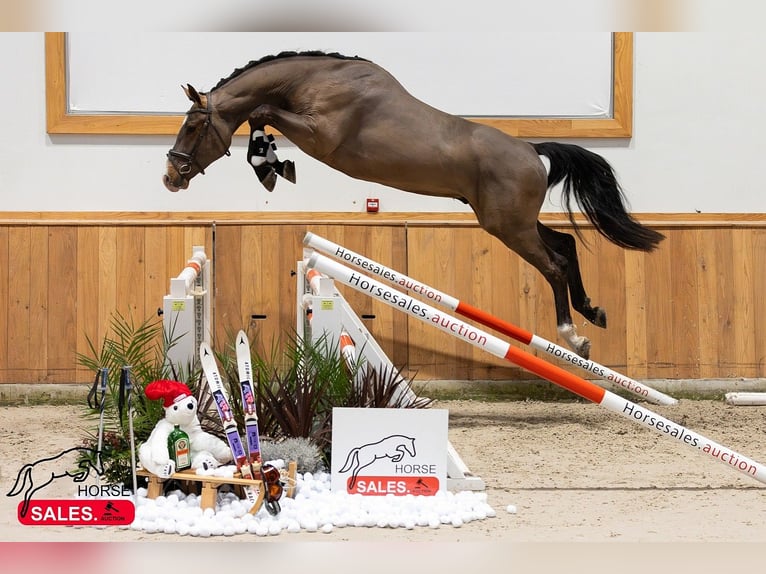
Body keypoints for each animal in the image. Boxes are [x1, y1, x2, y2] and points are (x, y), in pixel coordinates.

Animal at [163, 50, 664, 359]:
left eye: (193, 126)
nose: (170, 177)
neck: (316, 80)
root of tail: (531, 150)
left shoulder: (319, 135)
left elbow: (261, 112)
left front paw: (269, 165)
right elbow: (260, 116)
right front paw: (270, 162)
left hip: (508, 227)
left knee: (554, 265)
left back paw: (572, 336)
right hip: (512, 221)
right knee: (564, 245)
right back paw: (592, 313)